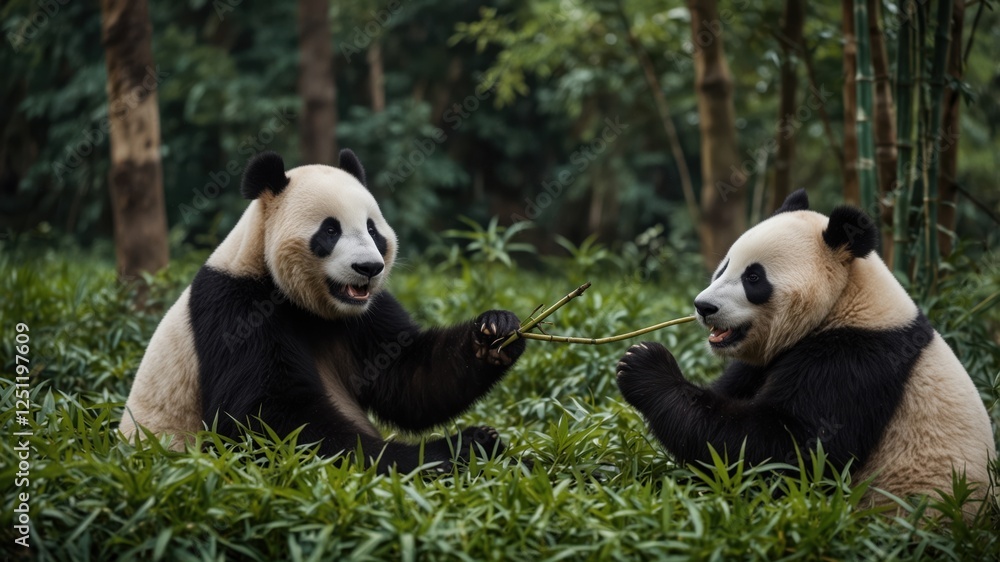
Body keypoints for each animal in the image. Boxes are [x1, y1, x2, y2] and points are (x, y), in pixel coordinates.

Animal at [119, 149, 527, 473]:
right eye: (330, 231)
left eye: (372, 229)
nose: (369, 268)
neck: (305, 304)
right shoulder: (235, 309)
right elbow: (271, 422)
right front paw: (454, 449)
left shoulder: (362, 314)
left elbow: (408, 377)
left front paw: (496, 332)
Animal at [616, 190, 995, 515]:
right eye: (724, 267)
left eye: (754, 277)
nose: (703, 306)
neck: (845, 302)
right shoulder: (768, 360)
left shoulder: (858, 360)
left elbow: (788, 451)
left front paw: (643, 364)